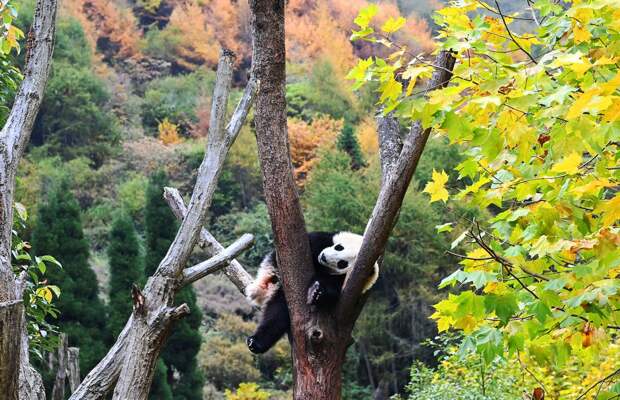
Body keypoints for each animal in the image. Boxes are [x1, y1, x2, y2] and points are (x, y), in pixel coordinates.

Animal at [243, 231, 378, 354]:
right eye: (339, 247)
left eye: (342, 263)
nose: (324, 257)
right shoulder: (323, 239)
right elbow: (310, 243)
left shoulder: (343, 283)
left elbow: (331, 292)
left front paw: (317, 293)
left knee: (277, 314)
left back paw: (257, 343)